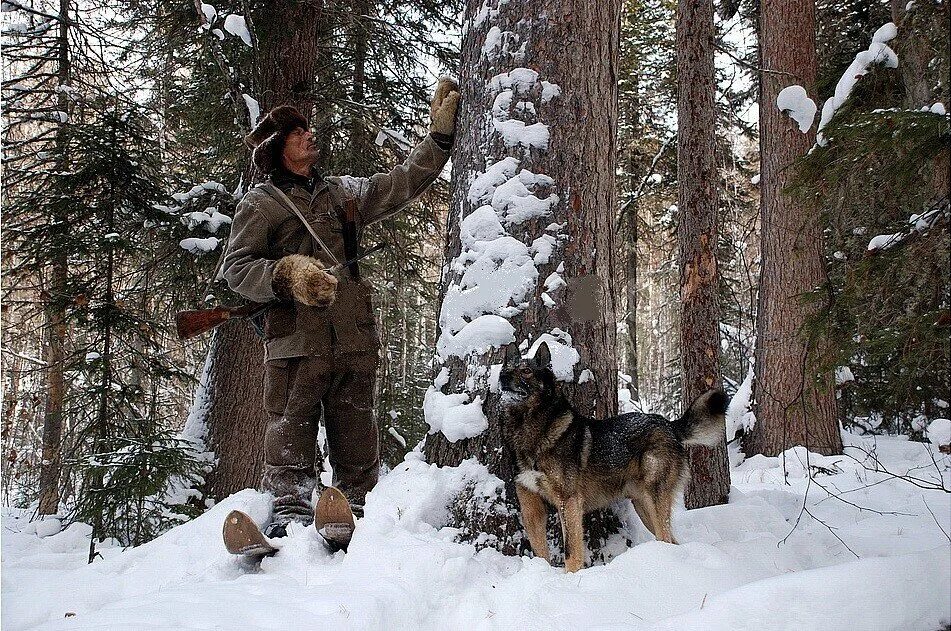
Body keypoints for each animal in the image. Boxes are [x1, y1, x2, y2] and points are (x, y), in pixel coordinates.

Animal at [498, 340, 728, 572]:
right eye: (505, 368)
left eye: (526, 371)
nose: (503, 377)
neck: (529, 428)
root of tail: (669, 425)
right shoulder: (531, 506)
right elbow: (540, 550)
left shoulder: (568, 501)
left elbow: (571, 551)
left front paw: (570, 576)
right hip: (643, 505)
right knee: (671, 540)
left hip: (654, 499)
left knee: (666, 538)